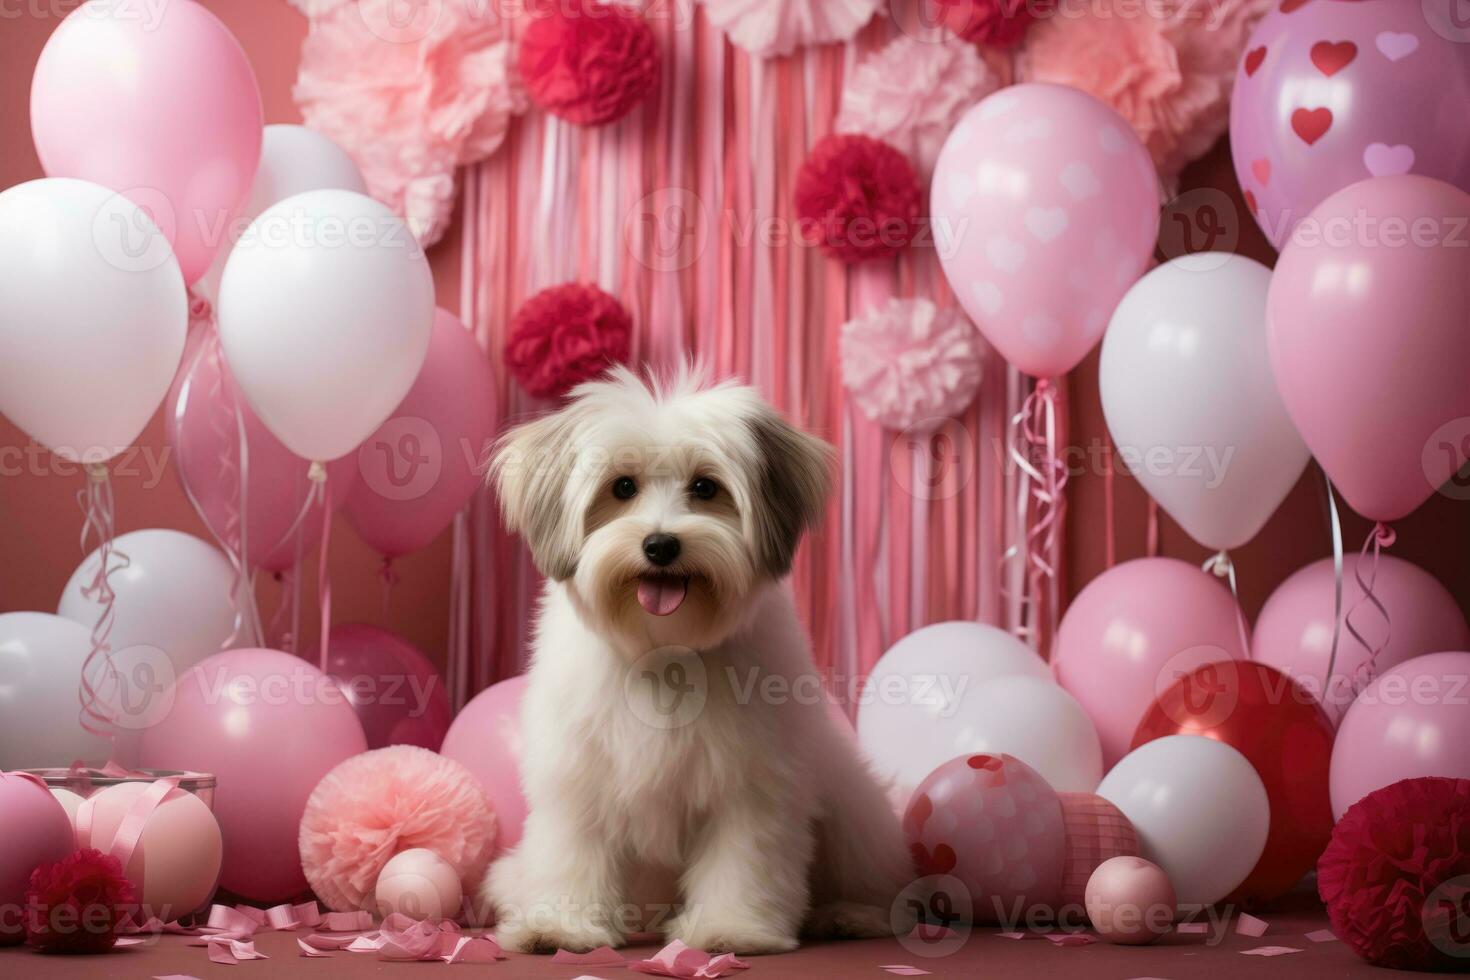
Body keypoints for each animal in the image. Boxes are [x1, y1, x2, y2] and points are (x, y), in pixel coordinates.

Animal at [482, 364, 911, 952]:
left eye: (705, 487)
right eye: (622, 486)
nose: (661, 545)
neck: (663, 648)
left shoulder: (752, 786)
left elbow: (742, 859)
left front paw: (730, 928)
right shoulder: (577, 779)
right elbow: (574, 851)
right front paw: (560, 926)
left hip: (854, 812)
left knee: (876, 885)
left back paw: (847, 915)